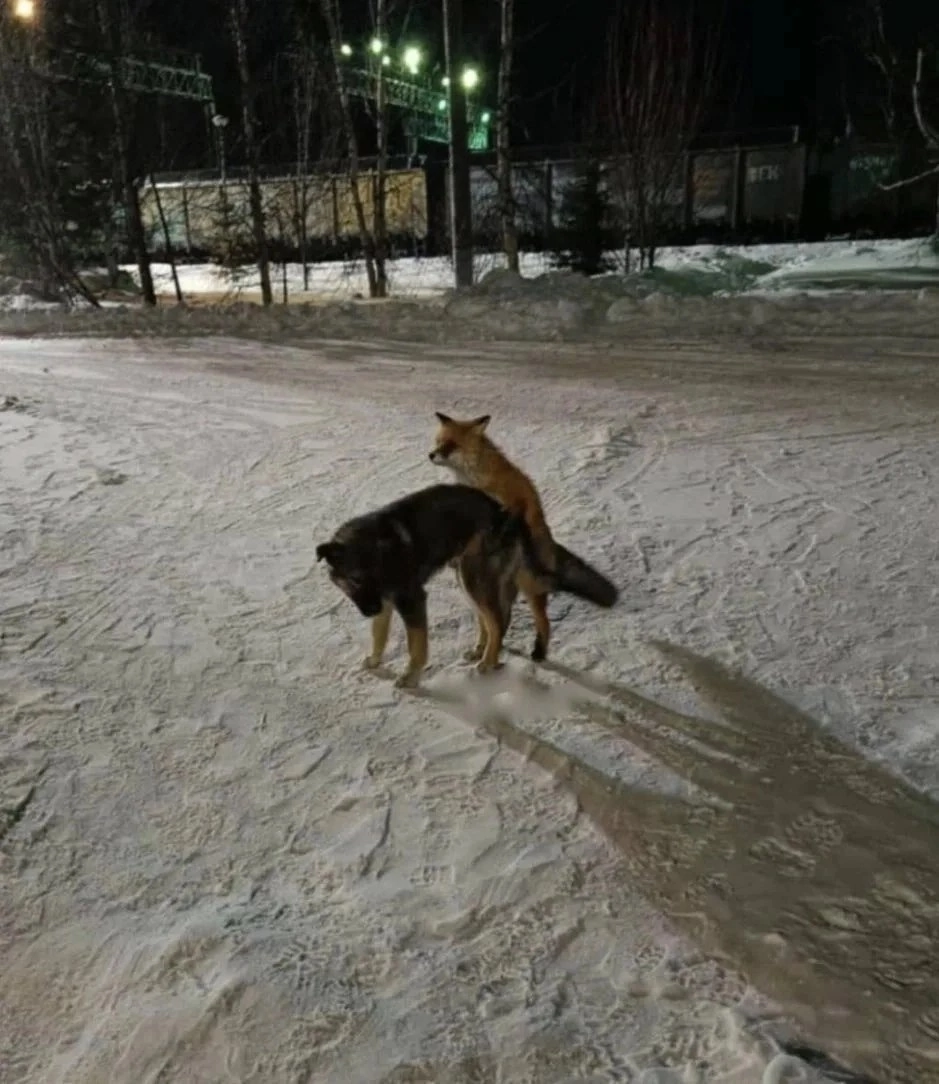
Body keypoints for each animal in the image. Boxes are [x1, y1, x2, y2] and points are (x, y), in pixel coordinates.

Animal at [427, 409, 620, 654]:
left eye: (451, 445)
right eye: (438, 442)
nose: (431, 455)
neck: (474, 477)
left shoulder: (517, 498)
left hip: (529, 587)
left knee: (541, 620)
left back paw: (538, 651)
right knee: (495, 620)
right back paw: (483, 647)